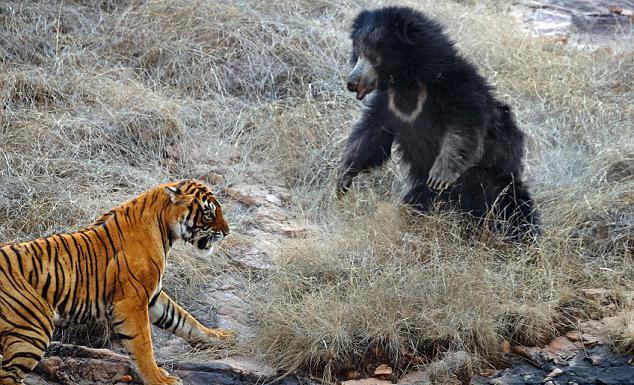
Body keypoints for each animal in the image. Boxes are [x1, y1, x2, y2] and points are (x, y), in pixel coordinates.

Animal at [0, 181, 235, 384]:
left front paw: (219, 337)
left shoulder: (154, 296)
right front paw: (160, 379)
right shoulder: (132, 302)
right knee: (8, 376)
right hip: (33, 327)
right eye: (208, 213)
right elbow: (143, 345)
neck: (164, 229)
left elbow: (184, 320)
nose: (227, 232)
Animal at [336, 6, 540, 238]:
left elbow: (465, 128)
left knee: (514, 211)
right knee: (415, 204)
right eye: (358, 52)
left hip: (495, 183)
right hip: (427, 193)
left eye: (375, 57)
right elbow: (371, 138)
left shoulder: (457, 89)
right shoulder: (386, 106)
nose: (351, 82)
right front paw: (342, 179)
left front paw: (440, 175)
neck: (408, 83)